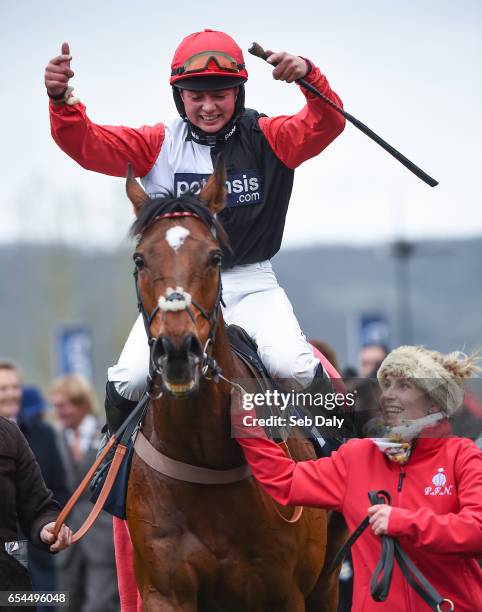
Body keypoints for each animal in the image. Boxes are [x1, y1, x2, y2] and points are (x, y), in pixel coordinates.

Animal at [124, 163, 342, 612]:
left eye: (215, 257)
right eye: (140, 259)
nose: (178, 350)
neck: (203, 455)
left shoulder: (283, 594)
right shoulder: (164, 590)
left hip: (326, 583)